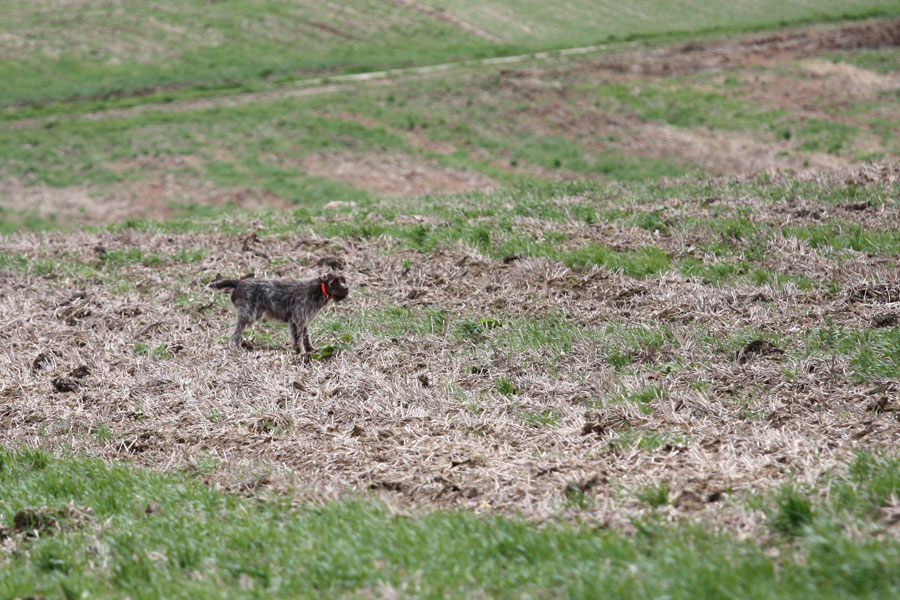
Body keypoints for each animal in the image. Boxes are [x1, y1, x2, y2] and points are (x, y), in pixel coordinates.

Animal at [210, 272, 348, 352]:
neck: (318, 289)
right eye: (333, 282)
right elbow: (297, 339)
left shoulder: (304, 322)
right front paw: (300, 353)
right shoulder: (296, 321)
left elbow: (305, 337)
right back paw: (238, 346)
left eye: (343, 280)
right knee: (236, 331)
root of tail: (240, 281)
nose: (346, 289)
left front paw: (310, 349)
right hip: (247, 314)